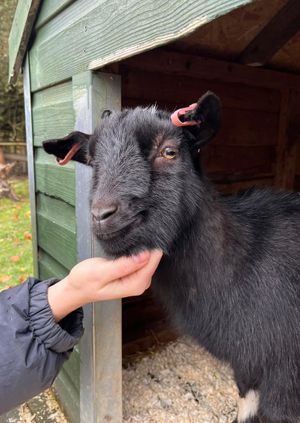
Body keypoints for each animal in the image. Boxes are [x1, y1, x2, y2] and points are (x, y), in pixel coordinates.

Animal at [44, 93, 300, 423]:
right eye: (92, 160)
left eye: (169, 151)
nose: (102, 215)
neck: (244, 261)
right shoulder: (248, 370)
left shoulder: (283, 380)